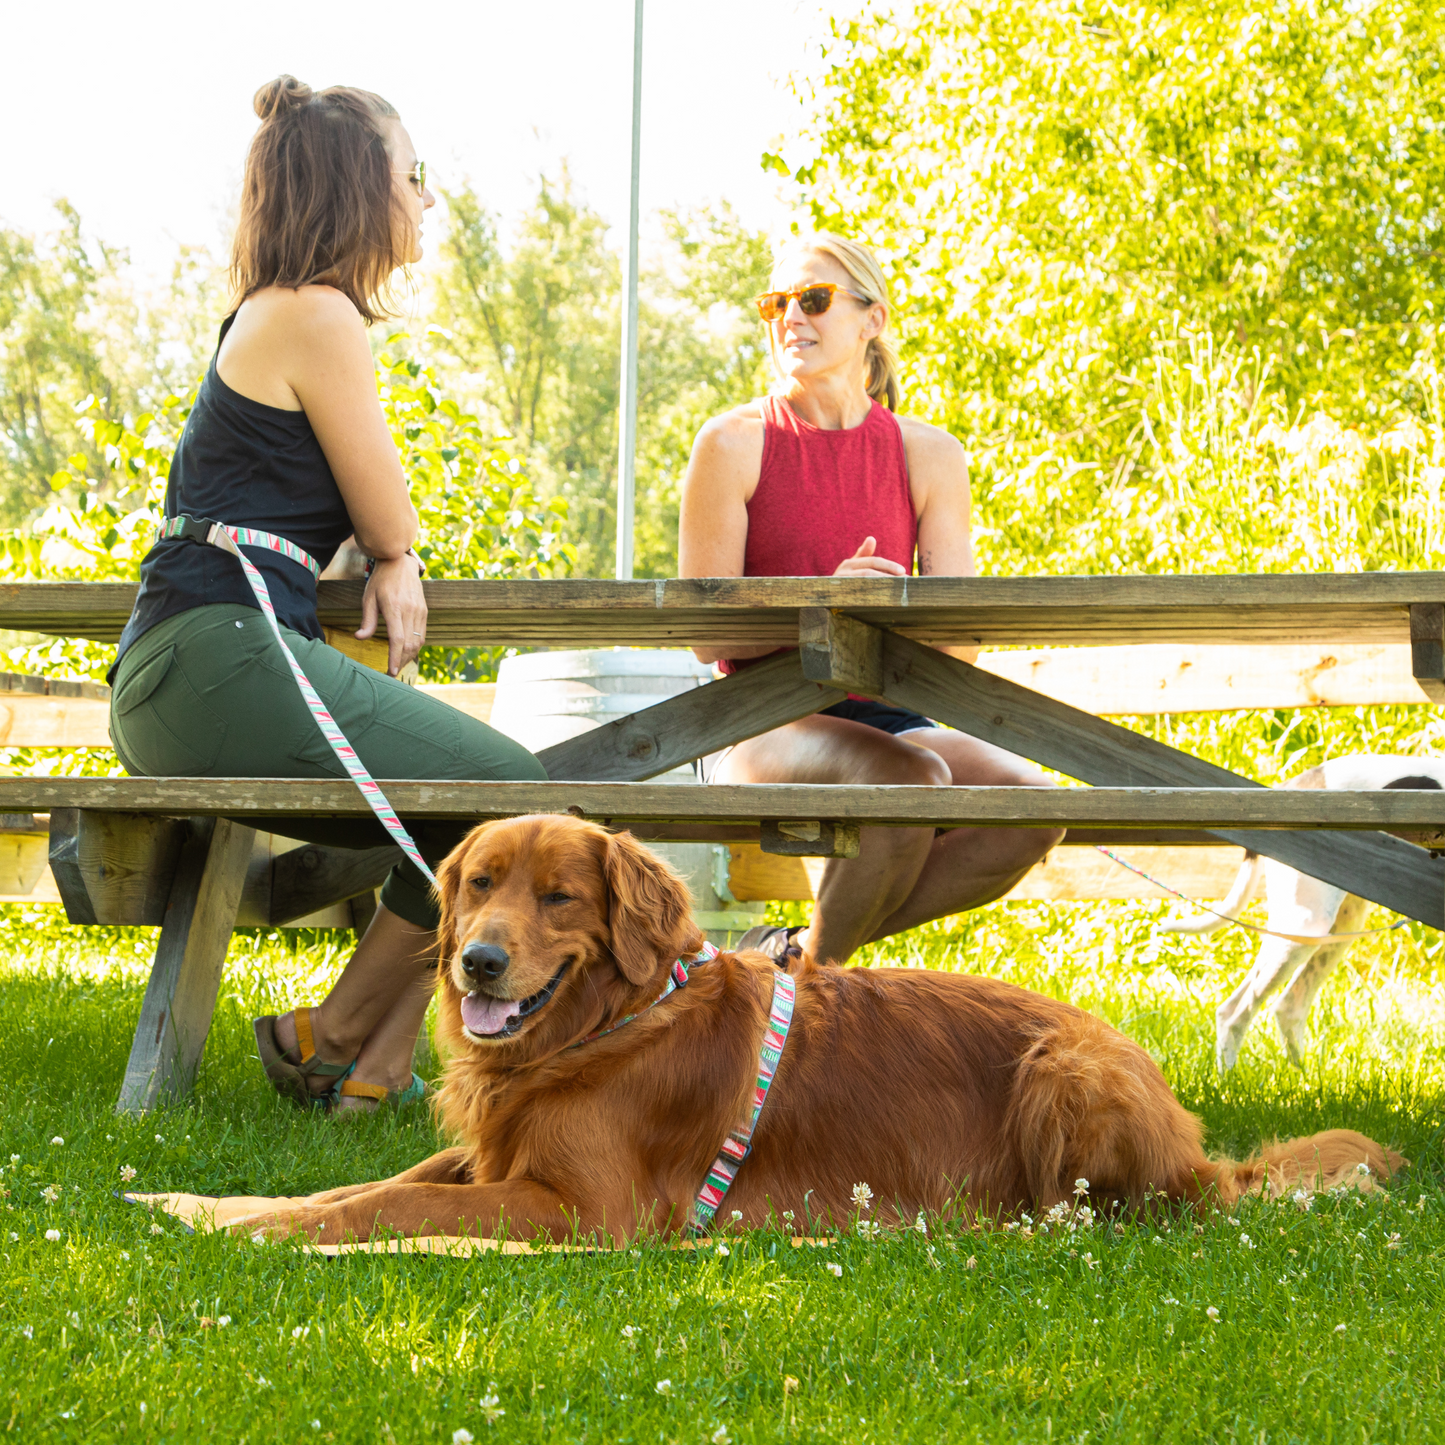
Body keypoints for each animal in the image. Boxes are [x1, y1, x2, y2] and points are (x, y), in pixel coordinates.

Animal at [1161, 757, 1445, 1075]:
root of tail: (1292, 785)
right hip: (1305, 926)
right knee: (1235, 1013)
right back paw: (1228, 1083)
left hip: (1333, 930)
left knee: (1285, 1006)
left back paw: (1304, 1080)